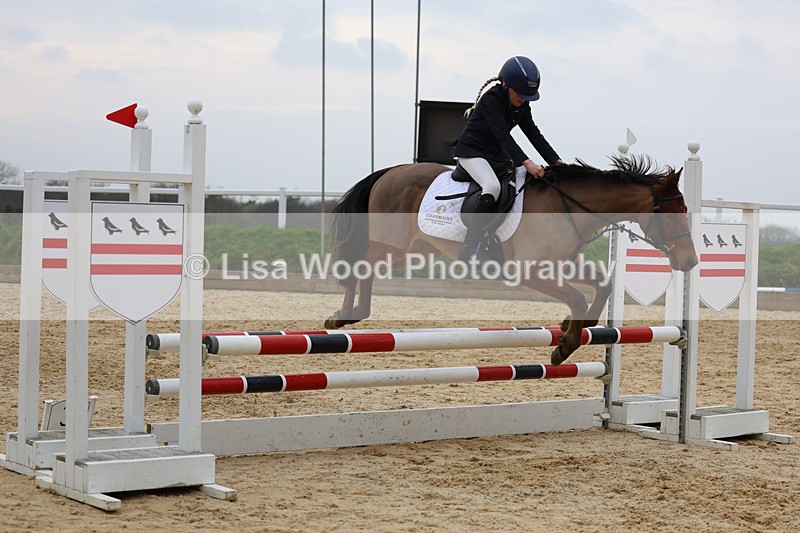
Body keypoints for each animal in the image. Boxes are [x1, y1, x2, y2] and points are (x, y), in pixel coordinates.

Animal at [324, 155, 699, 365]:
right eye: (672, 213)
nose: (691, 261)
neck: (570, 207)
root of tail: (391, 171)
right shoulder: (529, 271)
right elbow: (577, 297)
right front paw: (564, 347)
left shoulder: (564, 263)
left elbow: (602, 284)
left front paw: (575, 325)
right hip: (392, 244)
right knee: (357, 264)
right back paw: (342, 316)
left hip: (416, 249)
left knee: (367, 269)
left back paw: (354, 314)